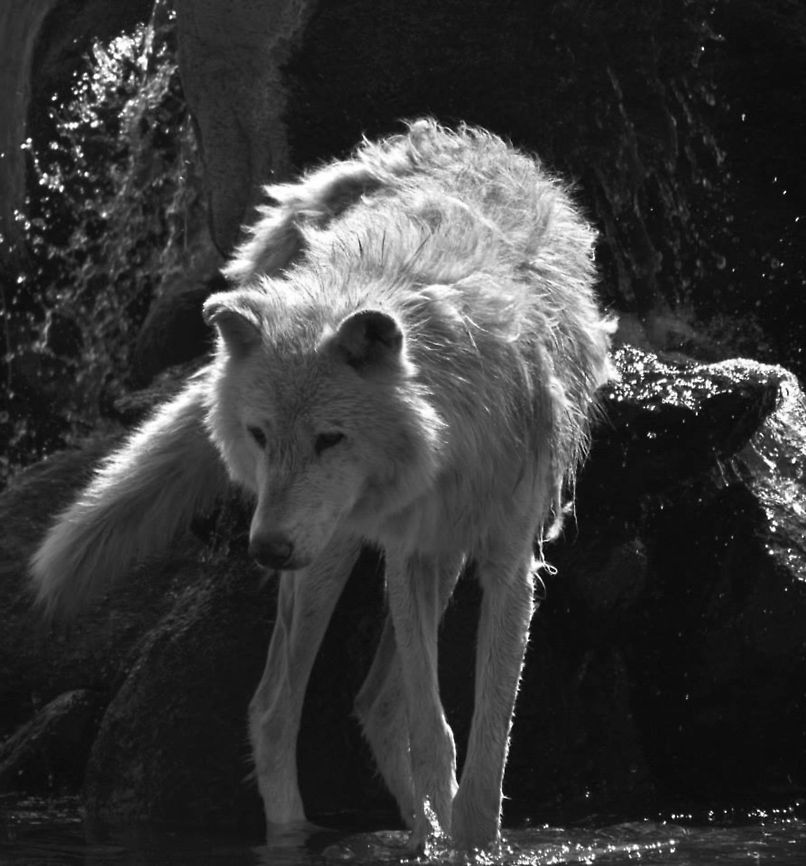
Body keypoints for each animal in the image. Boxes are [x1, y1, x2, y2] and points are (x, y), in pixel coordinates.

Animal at [31, 120, 614, 852]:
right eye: (259, 435)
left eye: (330, 438)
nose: (264, 551)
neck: (451, 419)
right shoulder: (410, 554)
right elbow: (434, 734)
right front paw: (448, 838)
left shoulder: (508, 562)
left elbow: (486, 745)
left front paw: (470, 842)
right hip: (327, 550)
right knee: (277, 705)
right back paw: (295, 837)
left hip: (388, 553)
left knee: (371, 702)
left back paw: (411, 828)